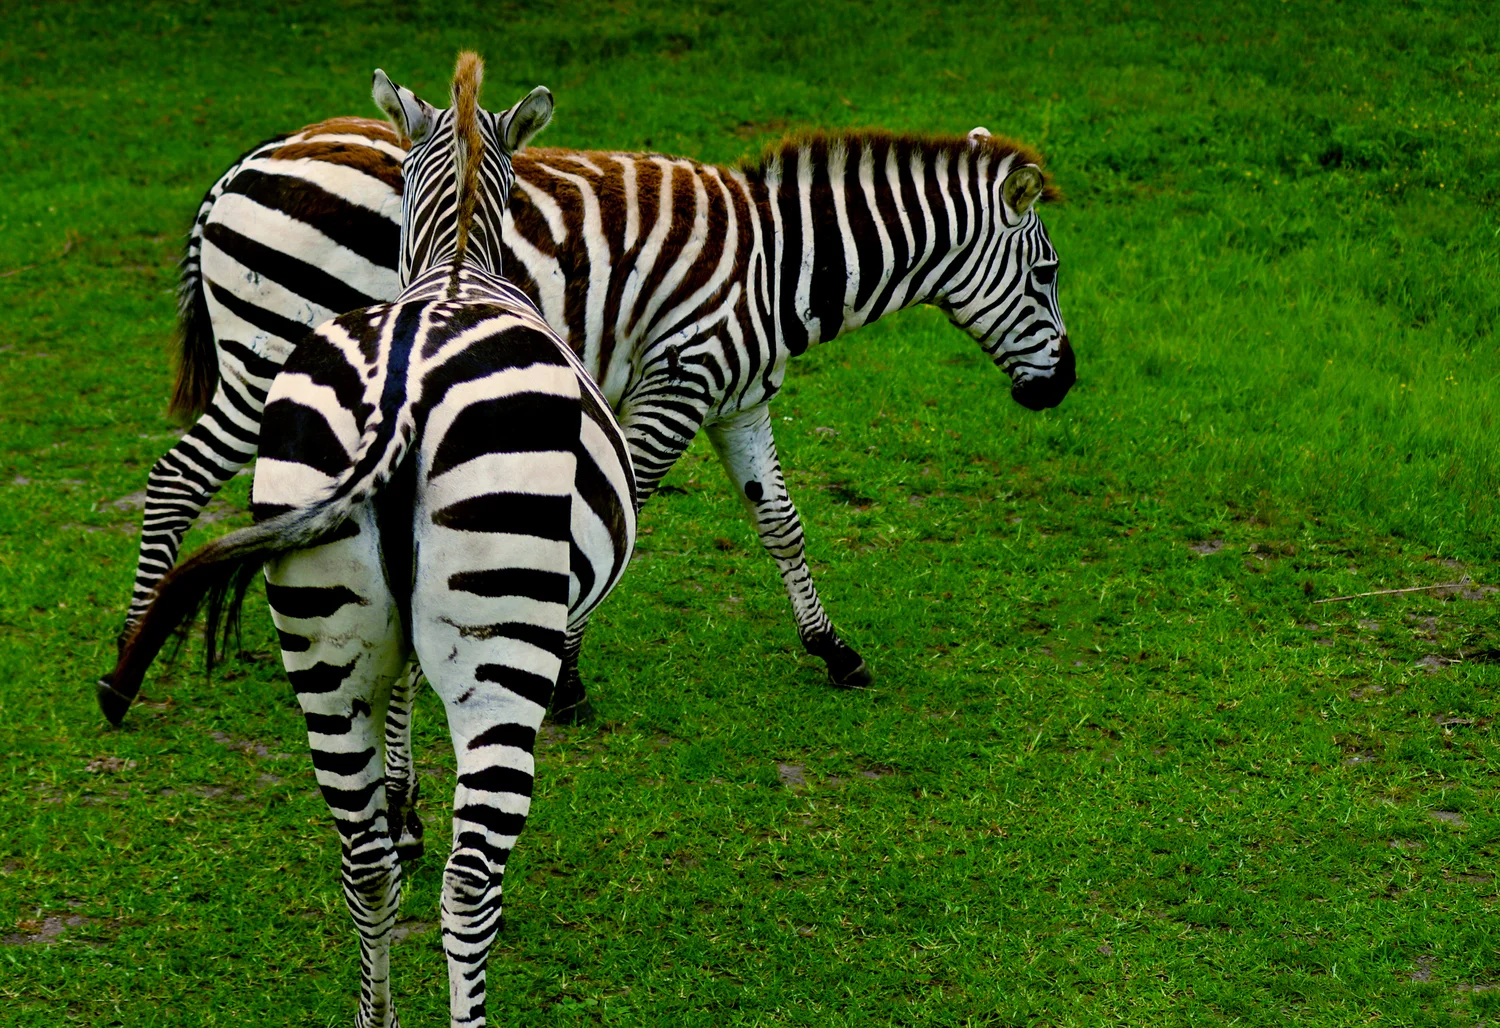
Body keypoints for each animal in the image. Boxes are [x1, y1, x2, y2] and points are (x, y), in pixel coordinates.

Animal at [101, 54, 637, 1028]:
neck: (455, 263)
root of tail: (400, 397)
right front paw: (415, 803)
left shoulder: (391, 636)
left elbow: (400, 701)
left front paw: (402, 801)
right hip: (501, 650)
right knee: (470, 887)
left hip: (323, 634)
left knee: (363, 865)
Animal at [117, 114, 1074, 720]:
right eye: (1049, 273)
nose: (1062, 387)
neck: (778, 266)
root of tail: (243, 167)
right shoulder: (677, 384)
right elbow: (621, 517)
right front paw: (569, 679)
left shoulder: (738, 398)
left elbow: (782, 523)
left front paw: (831, 647)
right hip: (268, 354)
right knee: (175, 480)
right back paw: (128, 661)